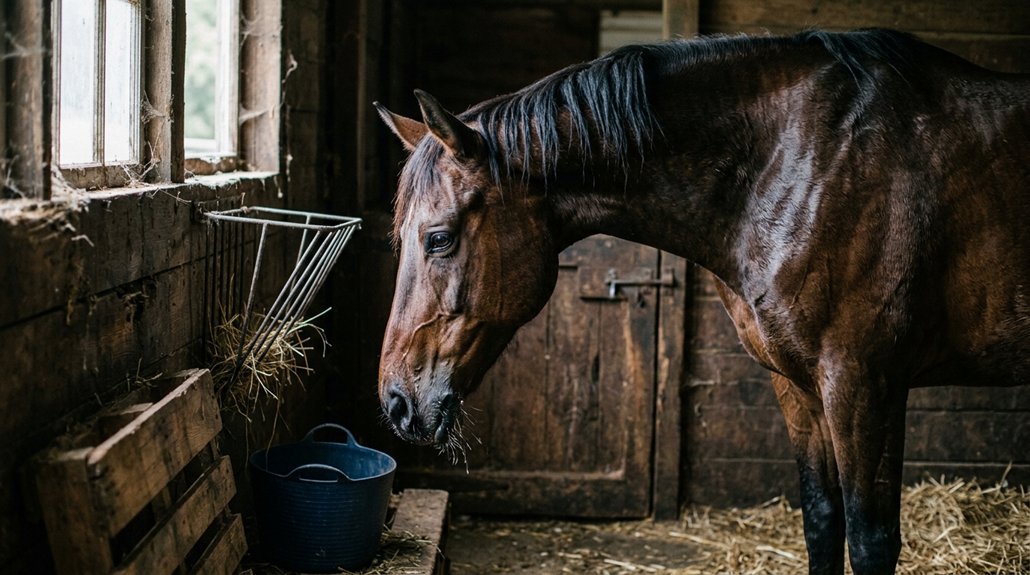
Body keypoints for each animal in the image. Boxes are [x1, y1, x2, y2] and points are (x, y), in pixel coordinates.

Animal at [372, 29, 1030, 575]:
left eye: (439, 238)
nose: (397, 403)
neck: (801, 163)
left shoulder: (865, 382)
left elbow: (870, 542)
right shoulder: (798, 384)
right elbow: (823, 523)